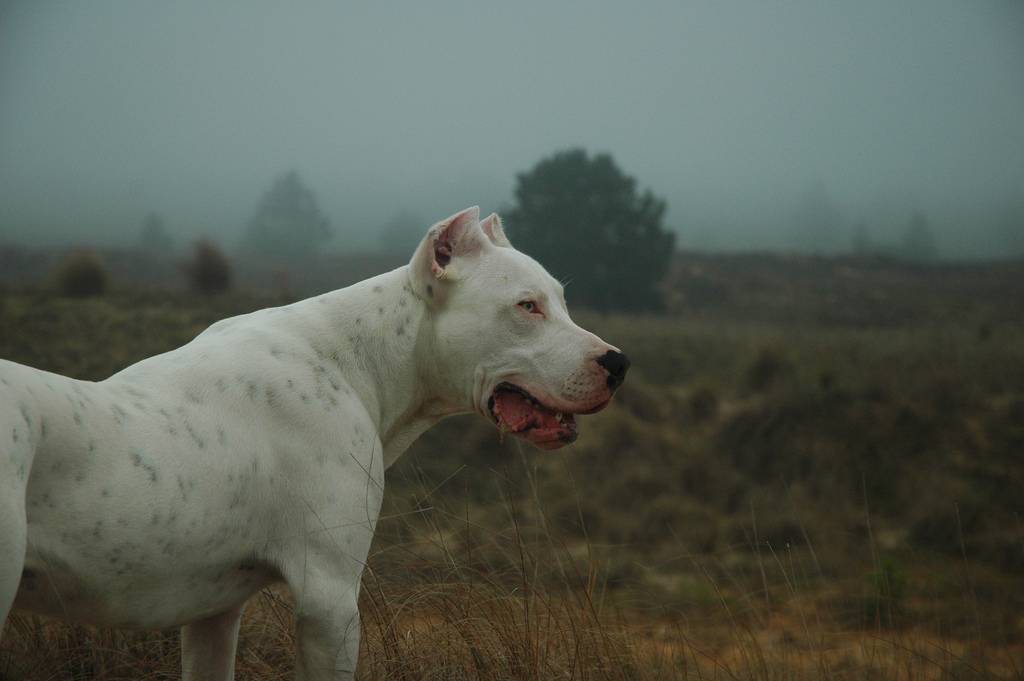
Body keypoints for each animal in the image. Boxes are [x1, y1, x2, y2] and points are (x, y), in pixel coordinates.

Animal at [0, 206, 626, 679]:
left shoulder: (213, 613)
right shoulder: (329, 600)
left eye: (561, 300)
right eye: (527, 306)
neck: (361, 359)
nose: (619, 363)